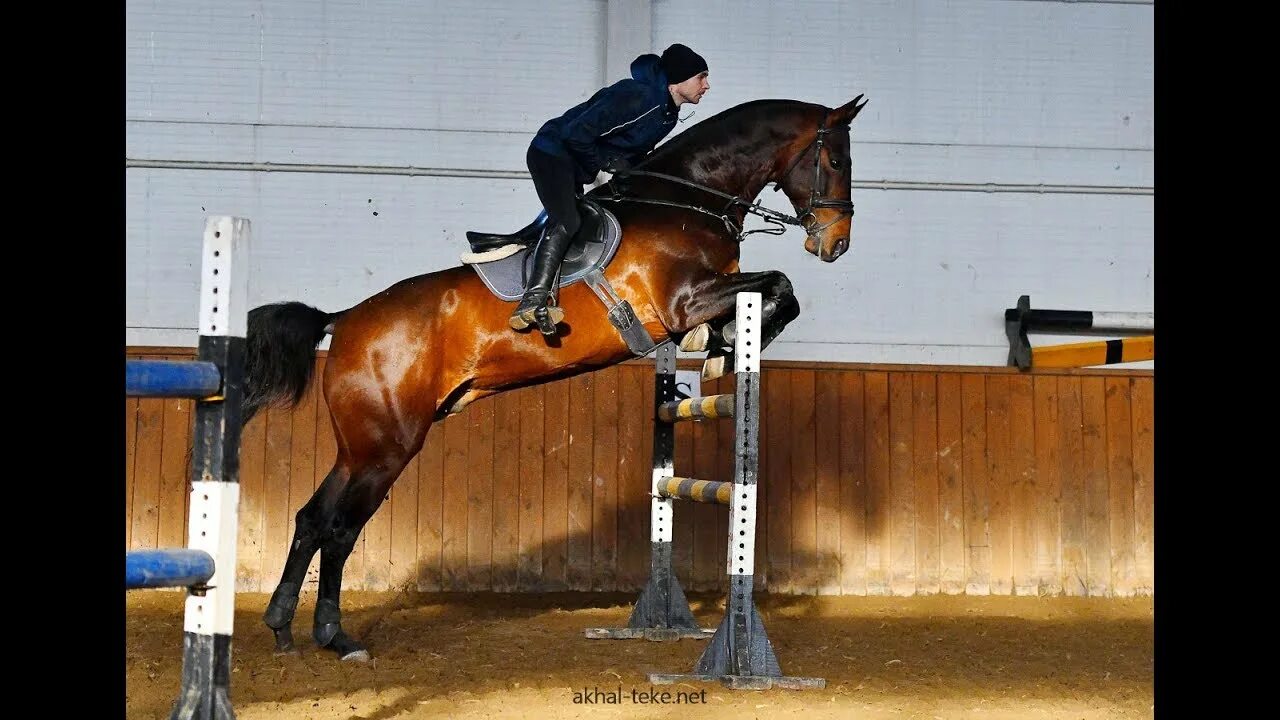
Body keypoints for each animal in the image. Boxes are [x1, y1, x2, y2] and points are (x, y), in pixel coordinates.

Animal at [244, 92, 865, 661]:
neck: (686, 199)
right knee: (339, 529)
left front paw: (721, 346)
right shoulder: (684, 301)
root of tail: (344, 319)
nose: (835, 243)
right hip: (385, 448)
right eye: (836, 160)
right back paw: (336, 637)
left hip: (359, 447)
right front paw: (732, 347)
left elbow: (769, 295)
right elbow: (781, 285)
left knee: (311, 518)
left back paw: (282, 626)